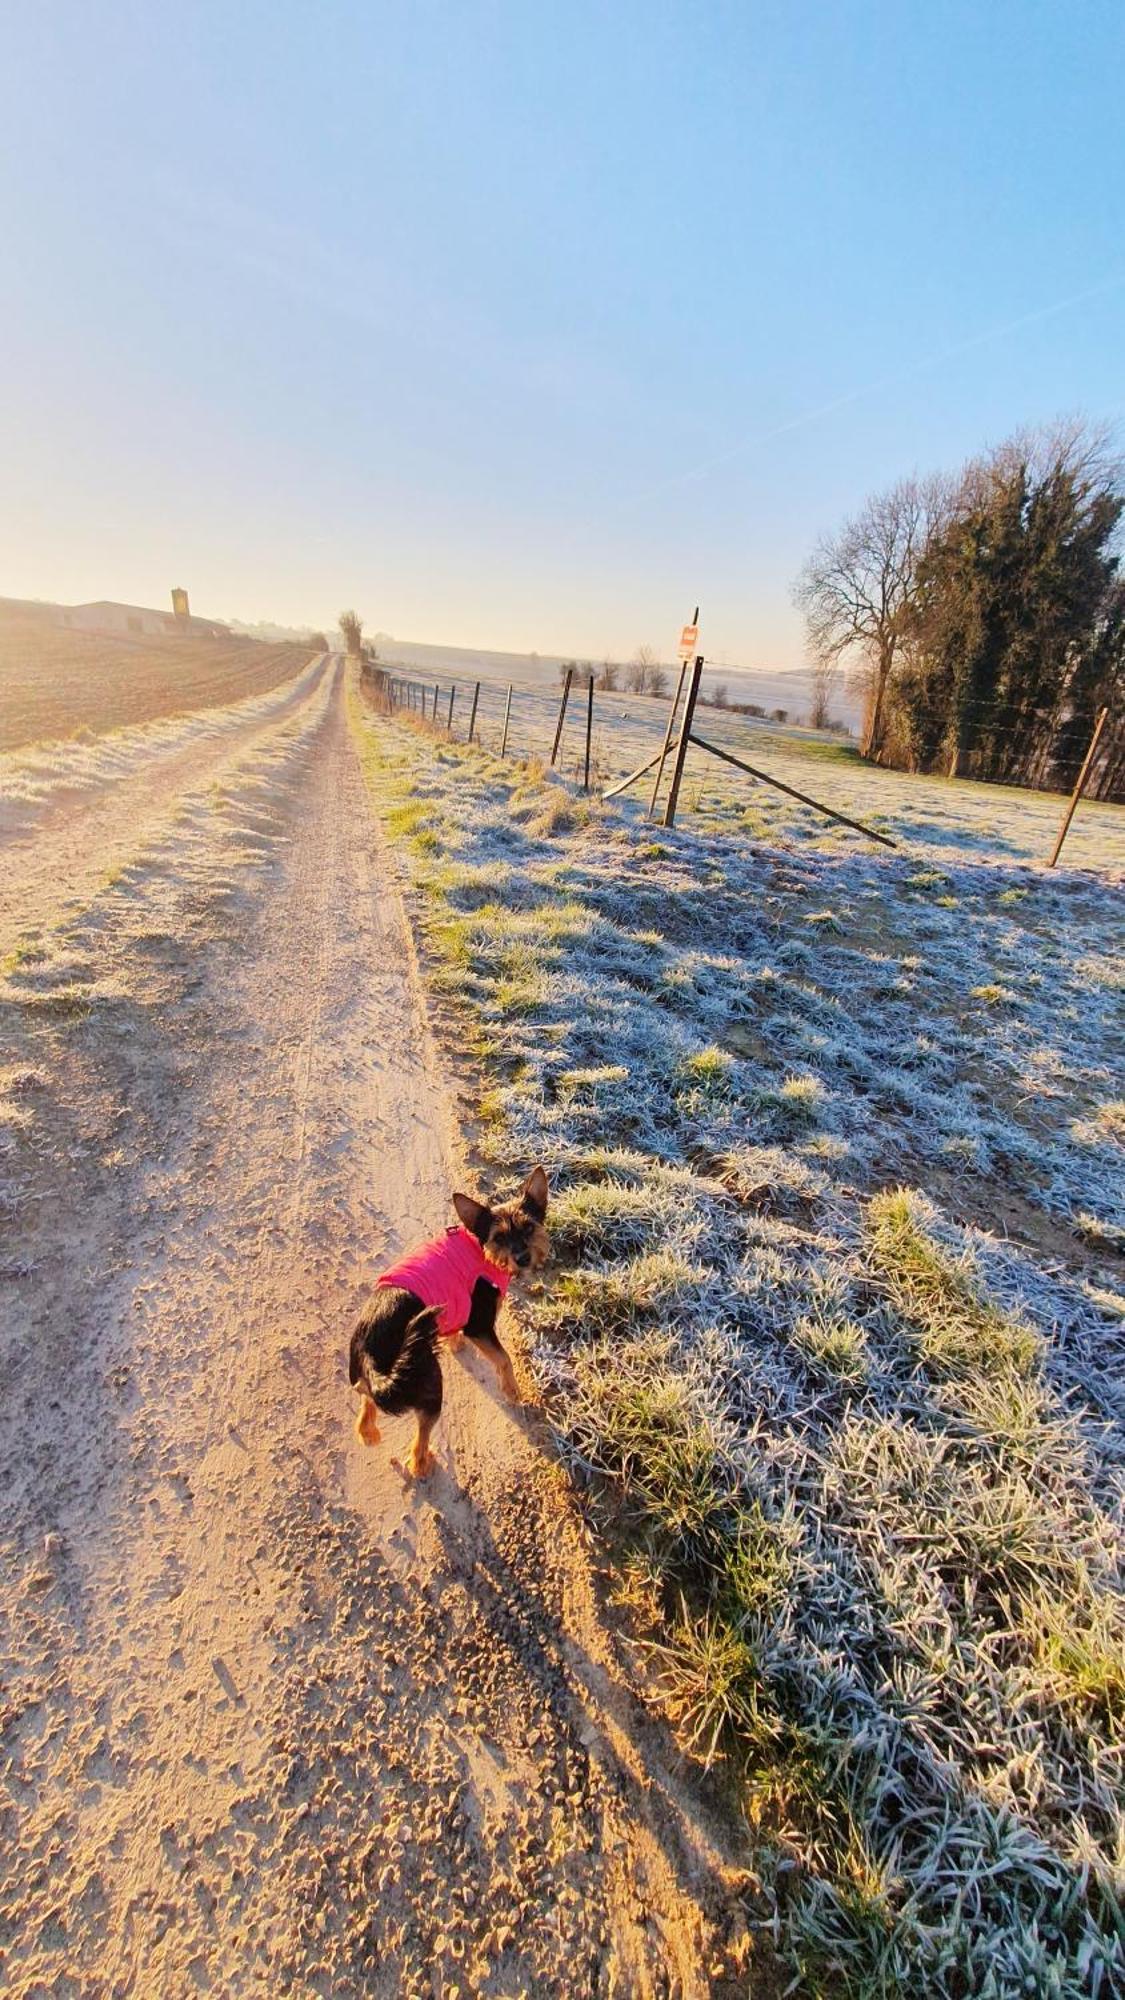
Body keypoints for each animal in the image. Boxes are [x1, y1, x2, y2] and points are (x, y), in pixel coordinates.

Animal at [346, 1168, 548, 1480]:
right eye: (499, 1237)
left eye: (528, 1227)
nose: (523, 1258)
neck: (480, 1250)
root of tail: (369, 1353)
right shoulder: (480, 1326)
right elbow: (503, 1358)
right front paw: (511, 1390)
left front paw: (455, 1343)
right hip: (429, 1382)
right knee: (419, 1441)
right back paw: (422, 1465)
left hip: (371, 1380)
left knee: (366, 1400)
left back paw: (368, 1432)